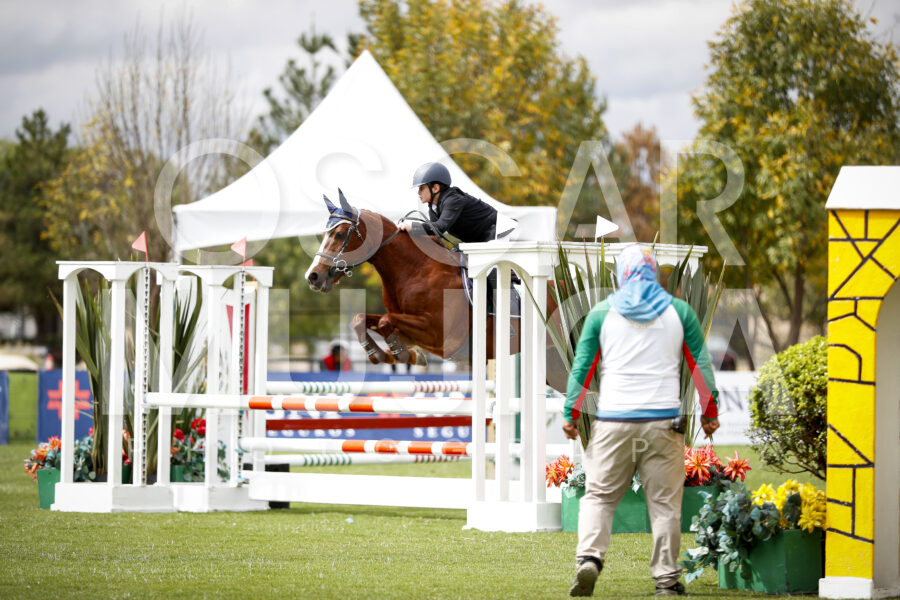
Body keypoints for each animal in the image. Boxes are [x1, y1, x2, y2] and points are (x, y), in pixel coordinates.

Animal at [305, 190, 565, 389]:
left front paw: (402, 354)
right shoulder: (409, 326)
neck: (415, 269)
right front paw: (387, 354)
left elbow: (385, 322)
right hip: (553, 365)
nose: (313, 276)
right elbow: (362, 319)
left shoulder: (438, 335)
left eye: (339, 234)